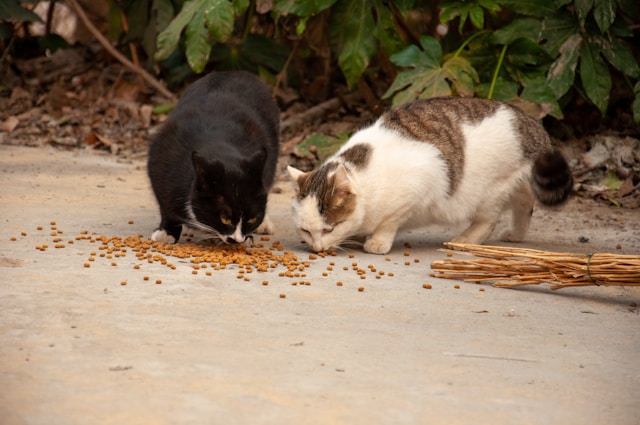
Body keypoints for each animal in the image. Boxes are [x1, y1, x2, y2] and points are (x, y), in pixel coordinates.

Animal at [151, 71, 282, 243]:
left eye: (252, 219)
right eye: (225, 219)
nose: (237, 239)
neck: (217, 146)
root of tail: (233, 71)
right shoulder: (160, 164)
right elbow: (165, 205)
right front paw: (167, 232)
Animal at [288, 97, 572, 253]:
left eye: (329, 229)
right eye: (305, 231)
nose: (316, 248)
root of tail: (531, 124)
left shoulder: (420, 183)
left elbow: (388, 223)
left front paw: (376, 241)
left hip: (490, 190)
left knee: (488, 220)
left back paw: (465, 239)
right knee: (525, 204)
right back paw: (516, 234)